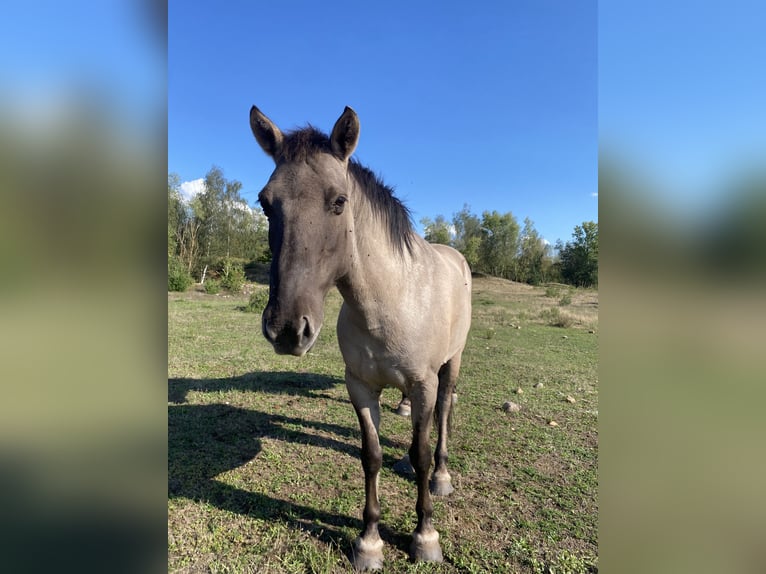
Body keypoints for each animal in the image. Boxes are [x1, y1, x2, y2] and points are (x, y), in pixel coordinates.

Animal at [249, 105, 472, 570]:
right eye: (265, 203)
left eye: (339, 201)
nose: (287, 329)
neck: (389, 300)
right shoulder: (360, 387)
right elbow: (371, 456)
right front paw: (369, 542)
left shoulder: (423, 384)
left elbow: (420, 454)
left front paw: (425, 536)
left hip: (451, 364)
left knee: (443, 415)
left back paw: (442, 476)